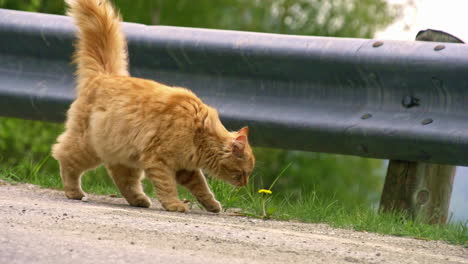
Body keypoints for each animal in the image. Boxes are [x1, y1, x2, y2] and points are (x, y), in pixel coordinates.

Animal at [51, 0, 254, 212]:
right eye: (244, 172)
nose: (245, 183)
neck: (201, 133)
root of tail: (104, 75)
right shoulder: (159, 160)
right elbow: (167, 186)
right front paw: (174, 205)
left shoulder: (185, 168)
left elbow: (201, 187)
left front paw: (212, 205)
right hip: (88, 147)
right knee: (64, 156)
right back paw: (74, 192)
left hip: (125, 156)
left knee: (124, 180)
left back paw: (139, 200)